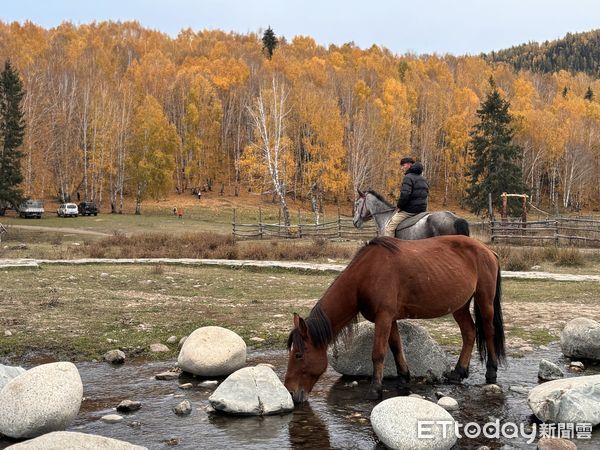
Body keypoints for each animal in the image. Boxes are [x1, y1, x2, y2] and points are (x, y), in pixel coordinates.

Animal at [284, 236, 504, 400]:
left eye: (299, 355)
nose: (291, 391)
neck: (366, 274)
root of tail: (489, 251)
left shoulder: (384, 317)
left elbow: (378, 353)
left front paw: (375, 390)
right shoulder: (390, 319)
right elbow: (396, 346)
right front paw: (404, 377)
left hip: (484, 301)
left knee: (488, 331)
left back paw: (491, 372)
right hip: (460, 306)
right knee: (469, 333)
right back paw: (458, 373)